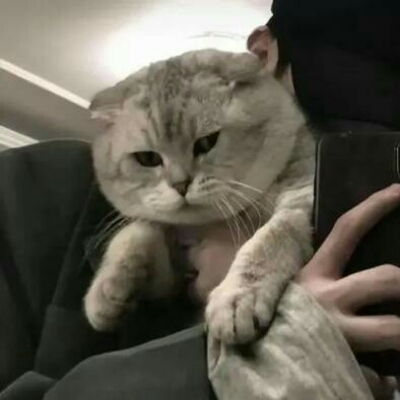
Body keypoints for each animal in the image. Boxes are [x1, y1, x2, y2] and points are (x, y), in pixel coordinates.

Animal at [84, 49, 315, 344]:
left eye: (207, 142)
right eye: (147, 158)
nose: (181, 184)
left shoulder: (303, 193)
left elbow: (270, 238)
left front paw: (237, 297)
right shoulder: (175, 286)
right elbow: (138, 231)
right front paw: (108, 288)